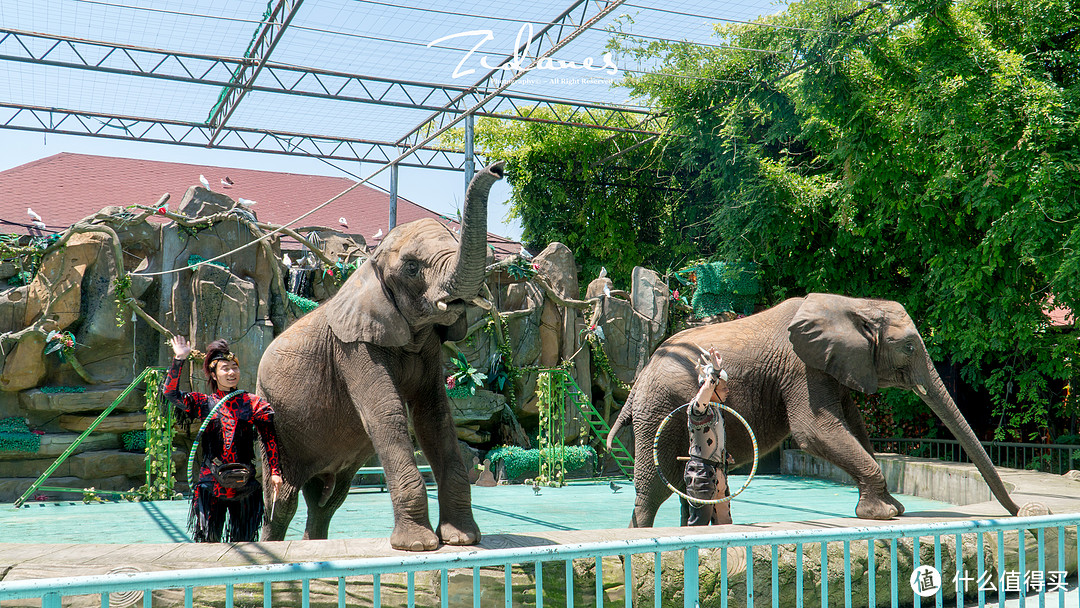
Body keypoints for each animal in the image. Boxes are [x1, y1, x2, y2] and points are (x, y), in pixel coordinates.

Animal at [254, 161, 503, 552]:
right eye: (412, 268)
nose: (497, 168)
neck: (367, 267)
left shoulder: (428, 346)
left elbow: (435, 417)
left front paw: (462, 539)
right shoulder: (353, 348)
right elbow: (388, 414)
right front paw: (418, 546)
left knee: (327, 498)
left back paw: (316, 543)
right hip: (270, 420)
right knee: (282, 500)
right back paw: (280, 546)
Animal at [609, 295, 1019, 529]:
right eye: (908, 348)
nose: (1016, 511)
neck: (853, 304)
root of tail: (638, 381)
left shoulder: (835, 365)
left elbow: (856, 427)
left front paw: (892, 508)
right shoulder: (802, 367)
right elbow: (815, 430)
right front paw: (884, 515)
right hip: (658, 408)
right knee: (654, 487)